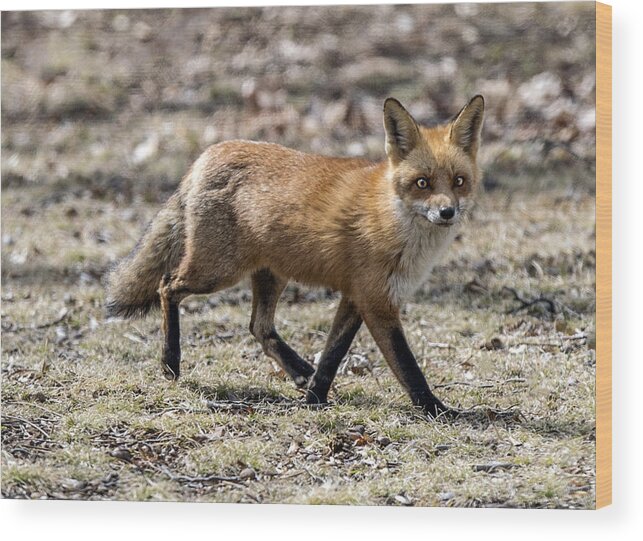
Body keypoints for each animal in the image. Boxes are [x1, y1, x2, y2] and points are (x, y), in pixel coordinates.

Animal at [108, 96, 486, 418]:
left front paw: (315, 397)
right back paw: (170, 362)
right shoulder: (376, 301)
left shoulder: (356, 296)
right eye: (422, 183)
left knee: (258, 326)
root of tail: (208, 153)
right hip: (217, 271)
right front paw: (438, 410)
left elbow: (333, 354)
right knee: (166, 285)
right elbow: (408, 368)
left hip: (270, 275)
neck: (394, 223)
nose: (447, 212)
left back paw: (300, 371)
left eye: (459, 181)